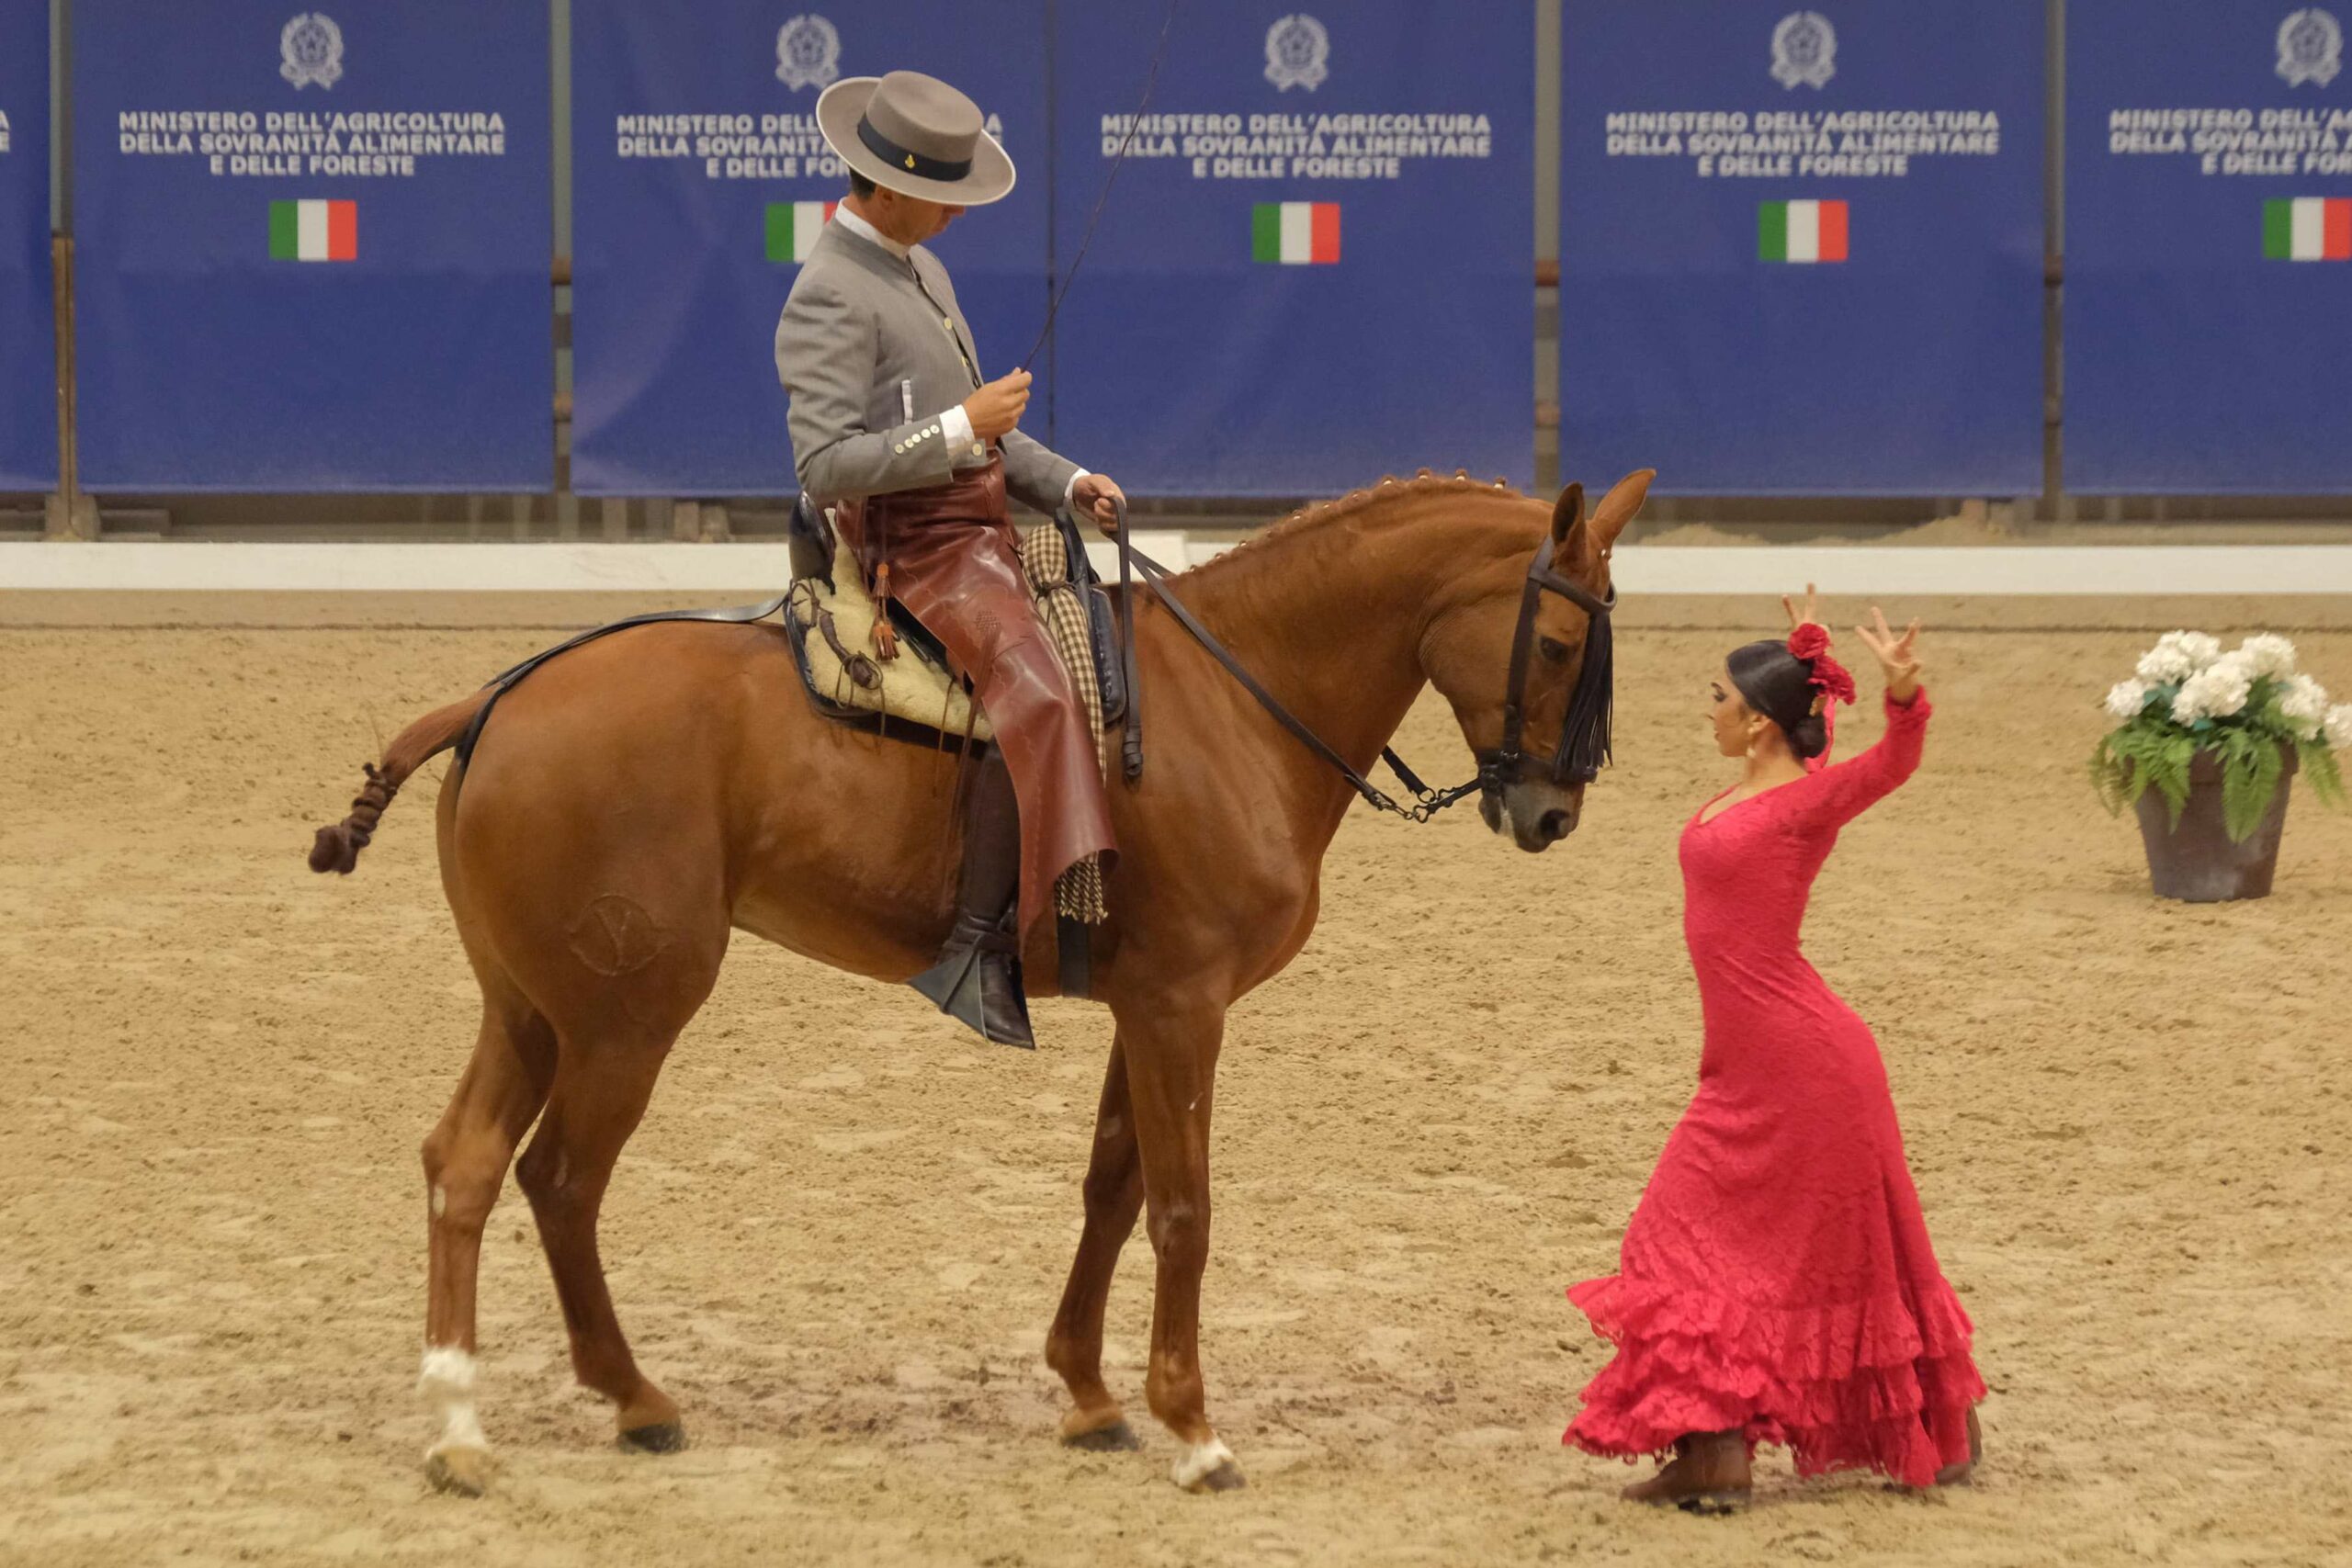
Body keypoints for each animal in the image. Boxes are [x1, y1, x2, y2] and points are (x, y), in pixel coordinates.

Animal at [312, 465, 1656, 1495]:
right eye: (1555, 641)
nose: (1551, 814)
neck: (1230, 704)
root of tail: (498, 697)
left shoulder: (1147, 1007)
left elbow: (1112, 1189)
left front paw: (1090, 1392)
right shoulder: (1183, 1010)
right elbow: (1182, 1209)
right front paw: (1193, 1425)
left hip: (529, 1010)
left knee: (465, 1166)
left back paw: (462, 1423)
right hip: (623, 1018)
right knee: (559, 1179)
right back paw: (628, 1394)